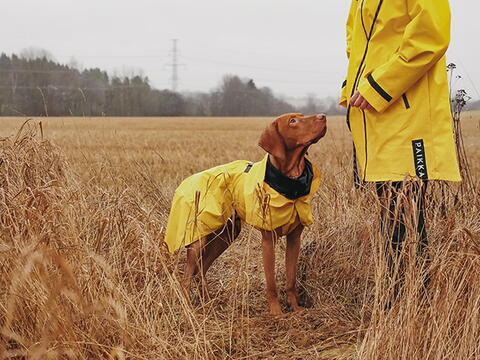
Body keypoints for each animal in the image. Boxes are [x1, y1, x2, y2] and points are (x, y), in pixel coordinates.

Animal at [164, 113, 326, 316]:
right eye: (292, 121)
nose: (323, 116)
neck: (291, 182)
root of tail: (185, 182)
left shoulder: (295, 239)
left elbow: (291, 279)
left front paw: (296, 309)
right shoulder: (268, 240)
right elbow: (271, 283)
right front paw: (276, 313)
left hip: (226, 235)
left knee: (201, 270)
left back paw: (208, 303)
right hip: (198, 239)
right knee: (186, 278)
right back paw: (189, 309)